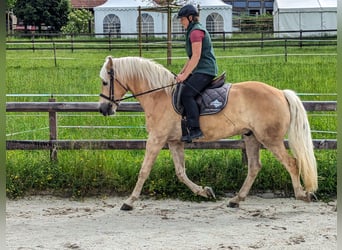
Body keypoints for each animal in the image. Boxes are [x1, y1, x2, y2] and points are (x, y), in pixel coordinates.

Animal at [99, 55, 318, 210]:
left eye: (104, 82)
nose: (103, 109)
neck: (159, 95)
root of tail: (281, 93)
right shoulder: (174, 141)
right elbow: (180, 172)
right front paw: (205, 191)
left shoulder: (156, 139)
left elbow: (144, 171)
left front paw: (129, 201)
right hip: (251, 137)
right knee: (254, 167)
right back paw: (236, 199)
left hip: (270, 139)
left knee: (291, 163)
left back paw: (302, 194)